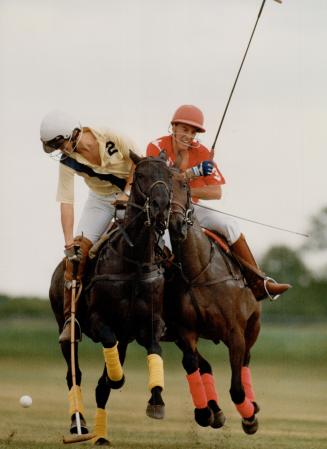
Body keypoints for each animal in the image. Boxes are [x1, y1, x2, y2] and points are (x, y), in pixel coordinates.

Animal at [49, 151, 174, 444]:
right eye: (141, 176)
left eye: (170, 176)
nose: (161, 208)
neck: (133, 263)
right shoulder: (100, 322)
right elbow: (107, 351)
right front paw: (116, 379)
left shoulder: (148, 325)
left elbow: (155, 350)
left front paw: (156, 402)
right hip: (64, 327)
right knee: (73, 374)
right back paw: (79, 424)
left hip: (125, 339)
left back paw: (100, 435)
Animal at [165, 172, 262, 434]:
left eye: (185, 185)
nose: (175, 223)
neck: (198, 273)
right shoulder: (185, 330)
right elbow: (191, 362)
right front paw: (203, 413)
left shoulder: (235, 332)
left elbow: (237, 389)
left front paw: (249, 417)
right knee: (204, 364)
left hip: (254, 325)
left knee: (247, 360)